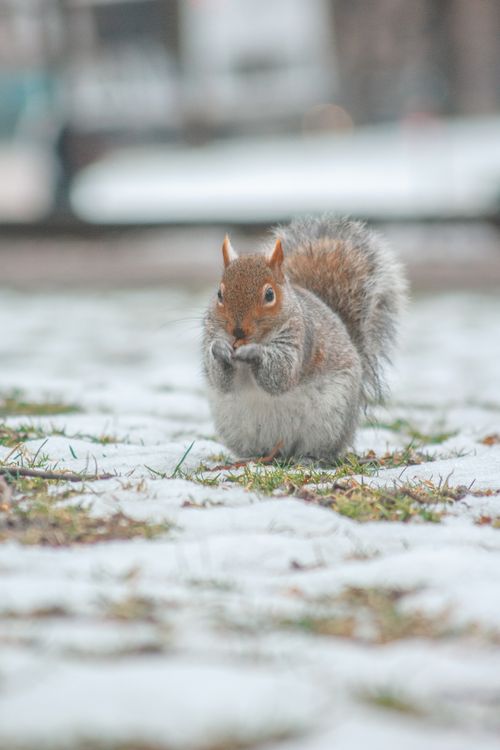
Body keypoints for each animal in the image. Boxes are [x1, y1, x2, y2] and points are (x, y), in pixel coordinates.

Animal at [203, 215, 407, 461]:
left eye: (269, 294)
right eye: (219, 294)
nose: (238, 331)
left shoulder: (301, 338)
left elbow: (282, 373)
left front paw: (254, 352)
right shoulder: (210, 332)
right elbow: (220, 379)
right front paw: (220, 349)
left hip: (331, 421)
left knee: (318, 448)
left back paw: (309, 458)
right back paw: (252, 458)